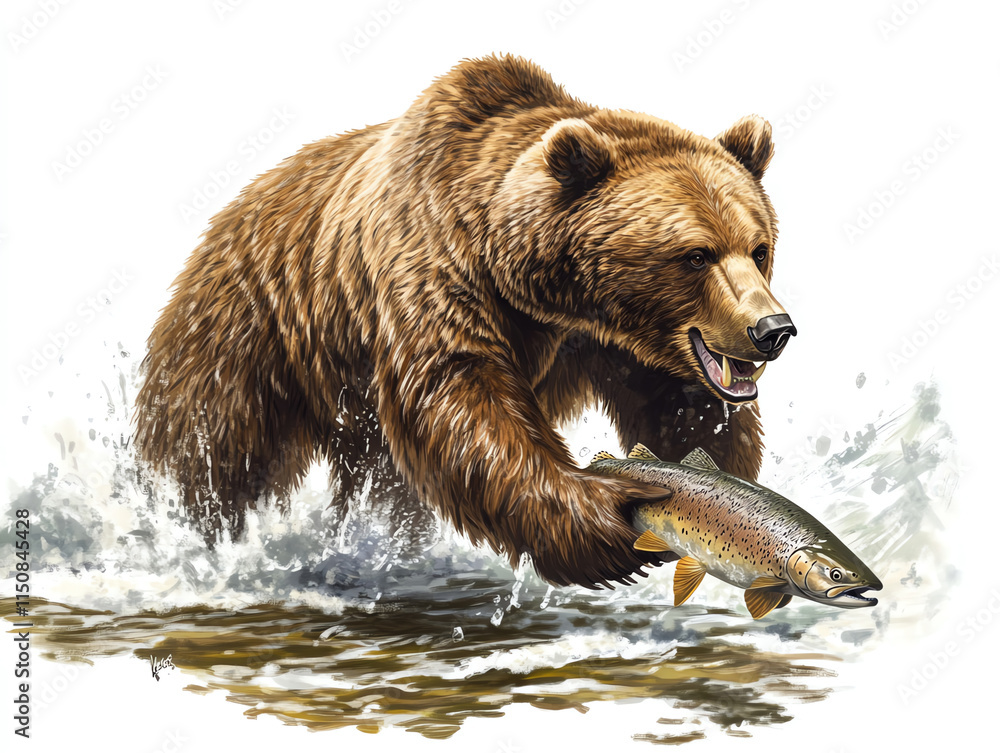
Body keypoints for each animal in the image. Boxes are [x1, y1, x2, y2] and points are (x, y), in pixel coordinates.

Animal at [134, 54, 795, 589]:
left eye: (758, 247)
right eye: (695, 255)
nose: (772, 330)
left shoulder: (611, 343)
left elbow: (681, 405)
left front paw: (715, 487)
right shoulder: (434, 263)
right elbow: (461, 395)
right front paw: (610, 514)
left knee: (386, 486)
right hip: (247, 337)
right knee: (209, 455)